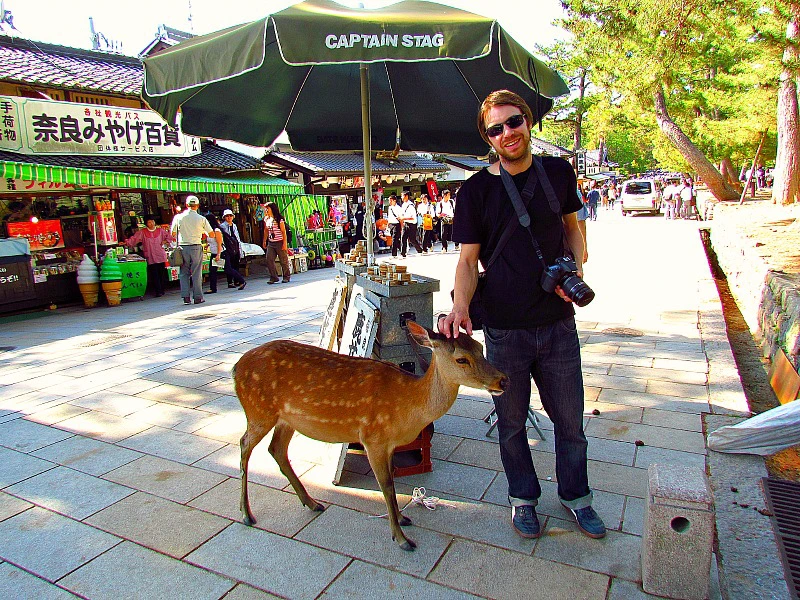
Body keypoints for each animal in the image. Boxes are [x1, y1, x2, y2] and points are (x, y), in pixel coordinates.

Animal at [233, 320, 509, 551]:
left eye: (480, 347)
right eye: (461, 359)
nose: (503, 380)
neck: (408, 404)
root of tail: (236, 368)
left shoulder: (388, 444)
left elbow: (393, 483)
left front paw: (403, 518)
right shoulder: (373, 438)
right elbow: (386, 485)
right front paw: (401, 539)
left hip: (286, 418)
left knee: (276, 449)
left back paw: (312, 503)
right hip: (258, 411)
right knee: (244, 445)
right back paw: (246, 514)